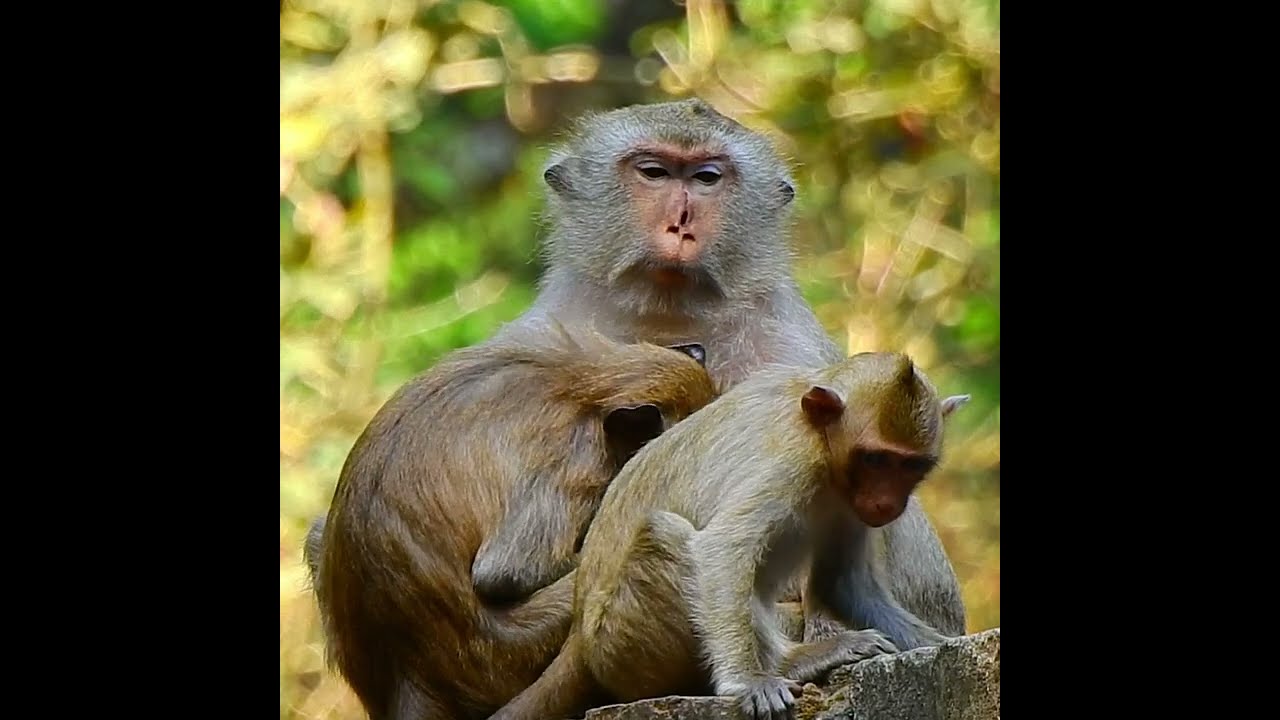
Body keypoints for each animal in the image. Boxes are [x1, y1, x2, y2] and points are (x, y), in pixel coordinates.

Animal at [488, 352, 970, 720]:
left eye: (910, 465)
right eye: (874, 459)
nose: (887, 503)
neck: (821, 442)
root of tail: (580, 639)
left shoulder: (850, 507)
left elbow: (843, 584)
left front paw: (939, 645)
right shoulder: (787, 463)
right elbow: (719, 548)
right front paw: (747, 682)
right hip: (624, 643)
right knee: (668, 536)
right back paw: (792, 663)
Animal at [491, 97, 967, 642]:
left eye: (707, 178)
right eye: (654, 172)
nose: (680, 222)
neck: (669, 309)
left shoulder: (794, 351)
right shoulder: (532, 336)